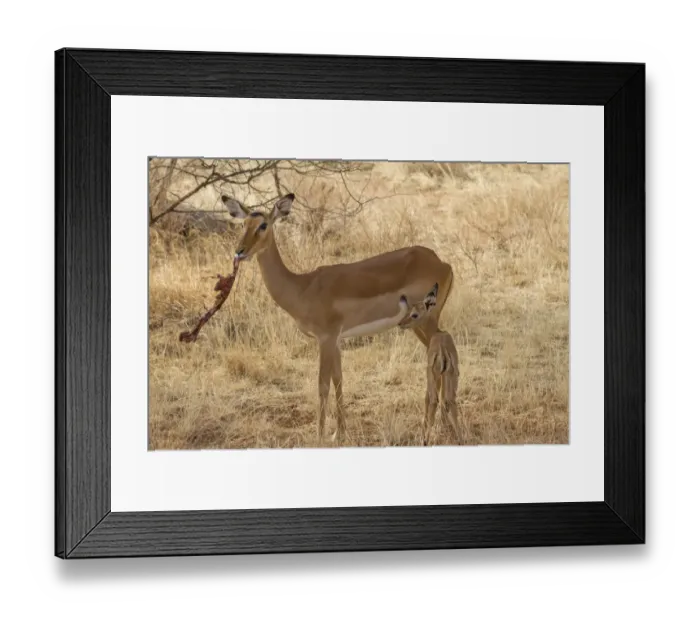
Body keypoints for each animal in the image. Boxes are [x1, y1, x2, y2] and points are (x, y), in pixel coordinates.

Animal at [222, 193, 454, 444]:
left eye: (263, 225)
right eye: (243, 223)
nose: (240, 251)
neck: (302, 288)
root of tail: (443, 264)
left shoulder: (325, 338)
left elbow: (322, 384)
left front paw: (320, 436)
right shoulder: (336, 340)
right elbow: (338, 379)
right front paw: (338, 433)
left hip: (425, 322)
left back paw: (434, 430)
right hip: (420, 325)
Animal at [398, 284, 463, 445]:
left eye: (414, 314)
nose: (401, 323)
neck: (435, 333)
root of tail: (442, 350)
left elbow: (427, 398)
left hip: (433, 376)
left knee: (433, 399)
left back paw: (425, 440)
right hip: (451, 376)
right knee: (450, 400)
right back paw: (460, 439)